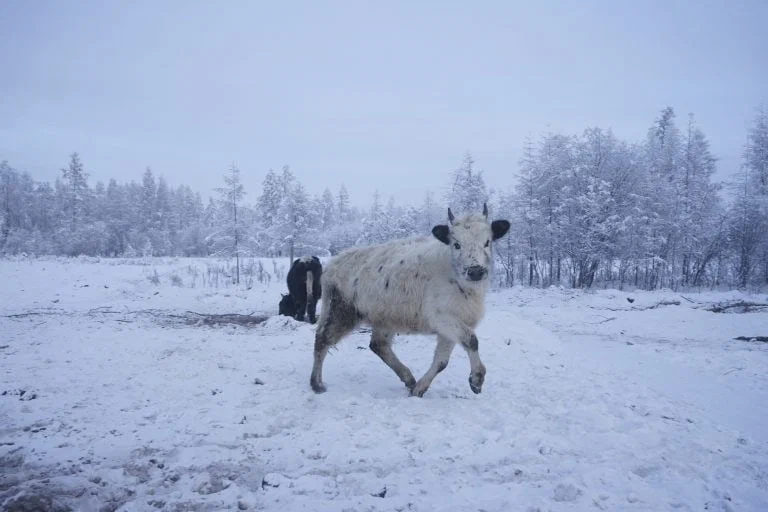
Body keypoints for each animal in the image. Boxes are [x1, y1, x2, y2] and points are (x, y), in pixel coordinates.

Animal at [306, 203, 510, 396]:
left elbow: (442, 360)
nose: (475, 271)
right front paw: (477, 379)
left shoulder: (453, 325)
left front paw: (420, 388)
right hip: (341, 311)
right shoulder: (443, 318)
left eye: (487, 241)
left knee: (378, 345)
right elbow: (471, 341)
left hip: (384, 318)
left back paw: (409, 379)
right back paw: (317, 384)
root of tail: (332, 264)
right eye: (457, 244)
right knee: (322, 339)